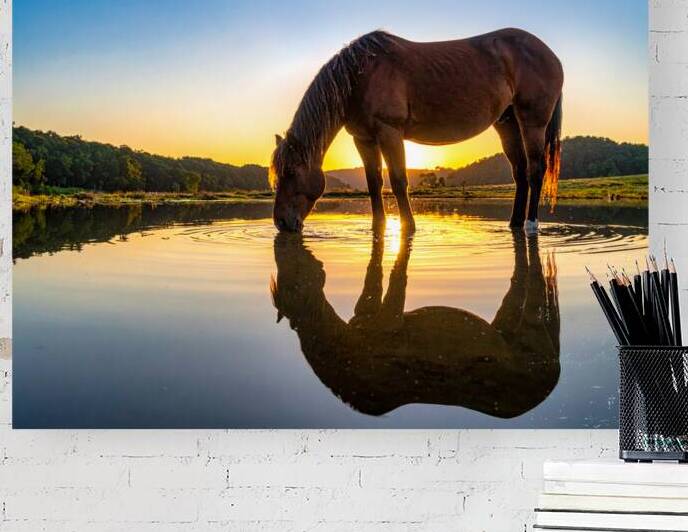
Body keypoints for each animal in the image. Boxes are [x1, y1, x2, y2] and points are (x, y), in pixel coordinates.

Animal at [270, 29, 563, 233]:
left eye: (291, 172)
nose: (281, 223)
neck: (361, 76)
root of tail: (550, 54)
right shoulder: (363, 139)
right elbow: (374, 183)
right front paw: (378, 228)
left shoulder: (389, 132)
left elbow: (399, 180)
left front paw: (408, 227)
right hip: (507, 123)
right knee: (520, 172)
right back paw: (514, 224)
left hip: (533, 122)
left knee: (535, 170)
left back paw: (531, 224)